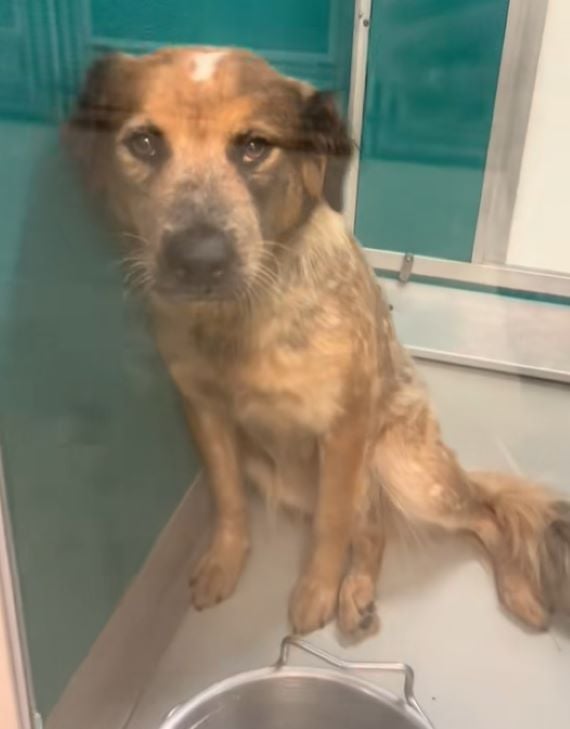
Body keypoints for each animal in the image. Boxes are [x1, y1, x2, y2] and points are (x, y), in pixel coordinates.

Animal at [66, 47, 568, 636]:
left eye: (254, 146)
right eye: (144, 143)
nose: (199, 260)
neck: (238, 322)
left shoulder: (344, 427)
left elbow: (330, 526)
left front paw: (317, 591)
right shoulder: (204, 411)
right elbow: (228, 499)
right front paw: (226, 561)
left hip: (408, 472)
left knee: (483, 514)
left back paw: (516, 592)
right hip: (283, 472)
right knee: (372, 531)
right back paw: (359, 595)